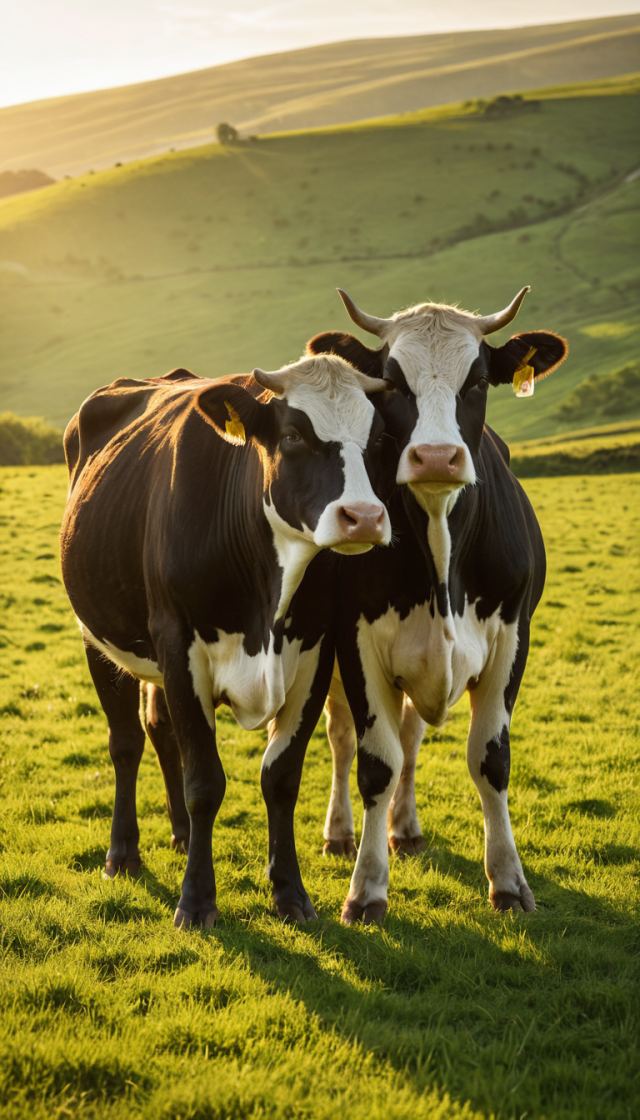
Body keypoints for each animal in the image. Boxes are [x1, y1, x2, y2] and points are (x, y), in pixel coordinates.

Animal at [60, 355, 393, 928]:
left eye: (374, 440)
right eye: (292, 434)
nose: (364, 518)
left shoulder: (313, 652)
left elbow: (281, 778)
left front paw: (289, 894)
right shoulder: (179, 646)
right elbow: (205, 783)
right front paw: (196, 902)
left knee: (160, 730)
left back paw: (180, 834)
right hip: (99, 637)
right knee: (126, 742)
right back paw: (123, 853)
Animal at [309, 287, 568, 923]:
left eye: (476, 380)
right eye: (391, 383)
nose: (433, 457)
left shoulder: (512, 637)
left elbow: (489, 759)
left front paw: (509, 881)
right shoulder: (357, 642)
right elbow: (375, 763)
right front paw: (367, 889)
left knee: (409, 738)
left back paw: (405, 829)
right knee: (346, 739)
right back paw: (340, 833)